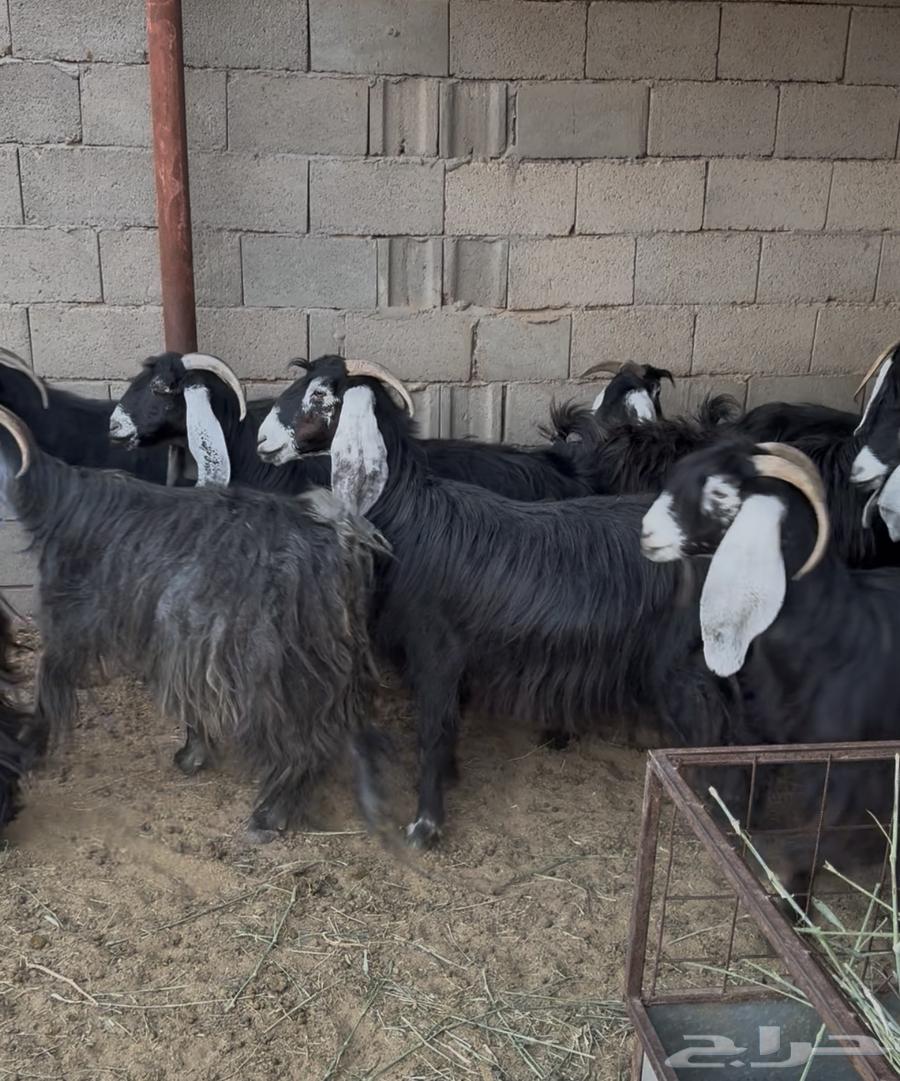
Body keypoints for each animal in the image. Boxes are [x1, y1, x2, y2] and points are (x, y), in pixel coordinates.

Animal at [0, 406, 387, 841]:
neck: (58, 504)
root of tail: (342, 539)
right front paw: (192, 755)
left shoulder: (69, 622)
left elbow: (47, 686)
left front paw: (26, 746)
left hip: (277, 665)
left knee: (301, 738)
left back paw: (269, 816)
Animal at [256, 356, 741, 848]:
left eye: (321, 395)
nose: (262, 440)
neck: (411, 519)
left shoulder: (436, 650)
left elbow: (432, 730)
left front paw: (425, 825)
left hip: (684, 668)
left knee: (715, 738)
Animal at [641, 439, 900, 896]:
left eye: (721, 494)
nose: (646, 534)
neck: (835, 640)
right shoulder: (763, 742)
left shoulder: (850, 777)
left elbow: (819, 844)